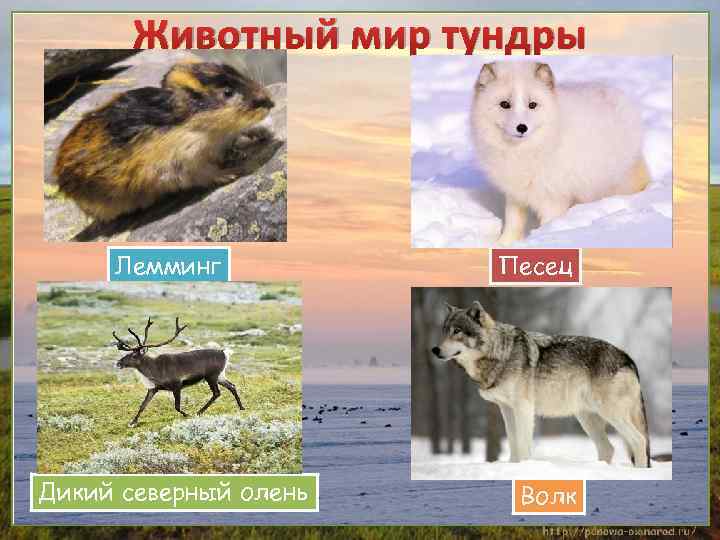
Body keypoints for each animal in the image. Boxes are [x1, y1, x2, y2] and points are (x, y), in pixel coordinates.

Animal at [113, 317, 244, 427]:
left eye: (134, 355)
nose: (118, 363)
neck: (154, 369)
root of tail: (224, 353)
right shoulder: (153, 389)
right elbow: (142, 405)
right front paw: (132, 422)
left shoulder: (177, 385)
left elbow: (176, 406)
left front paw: (188, 415)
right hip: (220, 376)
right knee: (232, 386)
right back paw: (241, 407)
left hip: (211, 376)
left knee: (217, 393)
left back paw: (199, 412)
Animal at [432, 301, 650, 467]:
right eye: (444, 332)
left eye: (457, 331)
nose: (435, 349)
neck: (501, 353)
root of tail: (627, 357)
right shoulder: (506, 409)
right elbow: (513, 443)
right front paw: (513, 467)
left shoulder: (523, 408)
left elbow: (523, 445)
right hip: (587, 419)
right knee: (609, 448)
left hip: (610, 414)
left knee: (639, 441)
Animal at [470, 61, 650, 245]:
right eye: (504, 104)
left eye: (532, 105)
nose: (521, 127)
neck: (525, 151)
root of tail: (612, 90)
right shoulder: (515, 195)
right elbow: (513, 223)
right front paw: (504, 244)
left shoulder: (554, 199)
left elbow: (548, 223)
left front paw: (545, 238)